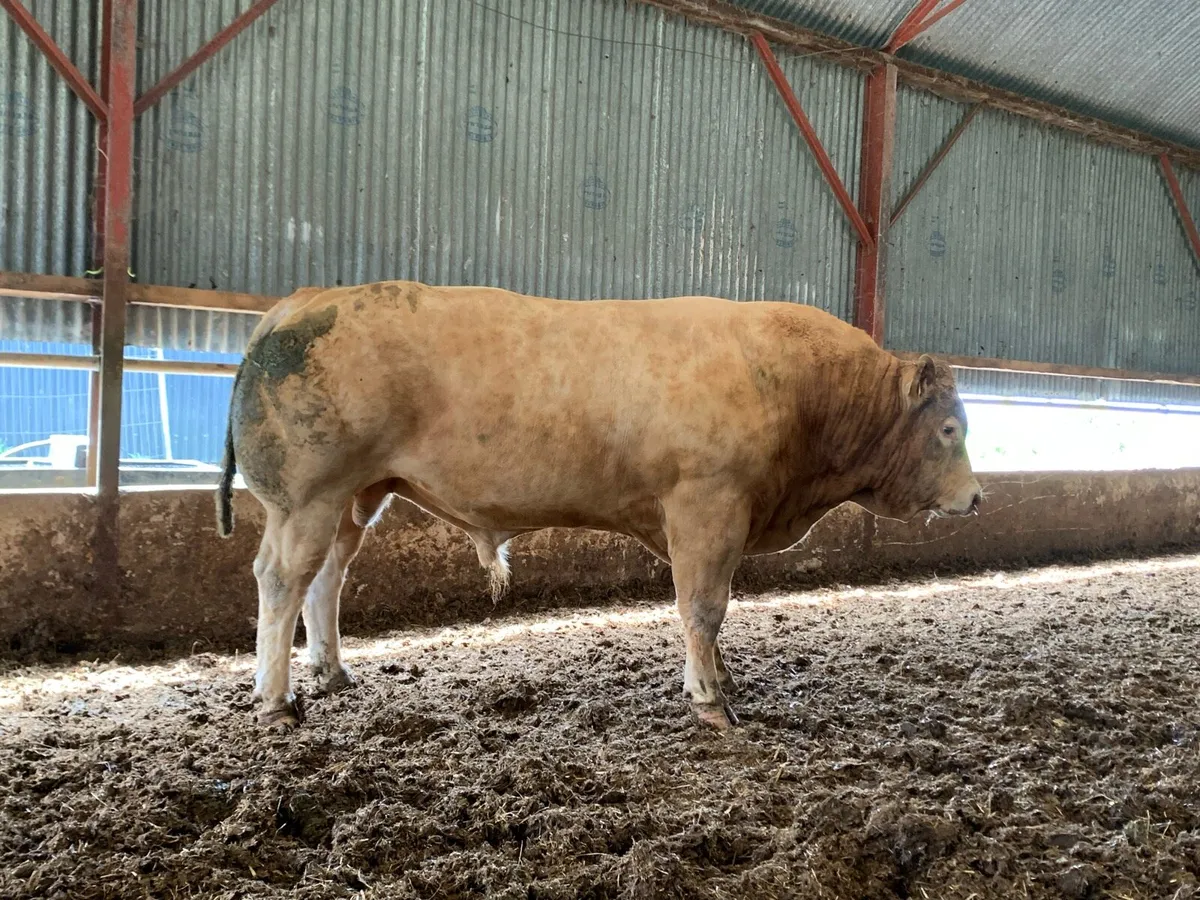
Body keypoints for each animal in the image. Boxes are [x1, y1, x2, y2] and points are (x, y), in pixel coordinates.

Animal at [216, 281, 981, 731]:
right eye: (949, 429)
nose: (977, 497)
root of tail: (300, 301)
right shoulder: (708, 502)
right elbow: (704, 606)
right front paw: (709, 699)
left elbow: (712, 609)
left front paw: (722, 676)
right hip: (306, 495)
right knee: (281, 580)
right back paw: (277, 699)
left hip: (355, 494)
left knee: (326, 578)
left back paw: (331, 672)